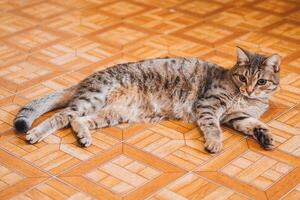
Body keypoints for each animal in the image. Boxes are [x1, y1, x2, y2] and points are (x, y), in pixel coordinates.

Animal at [13, 47, 282, 153]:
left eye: (261, 81)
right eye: (243, 77)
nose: (249, 90)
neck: (247, 100)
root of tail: (84, 80)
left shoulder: (235, 116)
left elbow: (254, 124)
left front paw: (266, 137)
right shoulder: (210, 106)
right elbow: (213, 128)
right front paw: (214, 142)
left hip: (113, 113)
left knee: (78, 121)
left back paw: (83, 137)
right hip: (92, 100)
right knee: (62, 116)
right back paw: (35, 134)